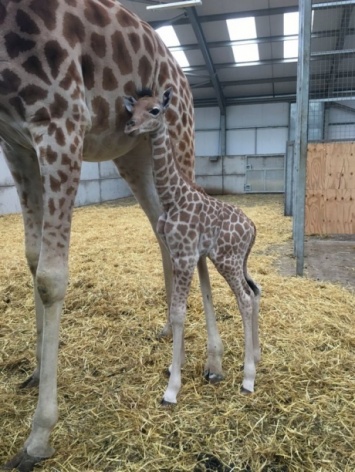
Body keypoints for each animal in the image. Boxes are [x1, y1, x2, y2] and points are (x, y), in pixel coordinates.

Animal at [0, 0, 217, 472]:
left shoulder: (59, 118)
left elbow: (51, 277)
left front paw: (38, 436)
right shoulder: (14, 141)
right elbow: (32, 258)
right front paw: (35, 373)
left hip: (179, 137)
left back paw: (213, 361)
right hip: (134, 152)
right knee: (162, 227)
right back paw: (168, 328)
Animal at [124, 87, 262, 402]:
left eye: (154, 110)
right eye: (131, 109)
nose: (129, 127)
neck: (172, 197)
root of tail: (252, 227)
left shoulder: (186, 255)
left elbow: (178, 313)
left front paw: (172, 389)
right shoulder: (178, 254)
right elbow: (179, 309)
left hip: (227, 259)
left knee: (245, 299)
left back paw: (248, 379)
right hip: (236, 260)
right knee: (254, 292)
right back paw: (255, 357)